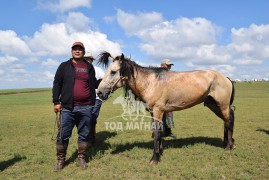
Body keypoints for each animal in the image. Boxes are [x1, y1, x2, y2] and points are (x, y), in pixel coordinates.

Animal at [97, 51, 234, 165]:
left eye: (113, 71)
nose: (99, 92)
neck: (151, 82)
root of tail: (226, 78)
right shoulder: (154, 112)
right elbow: (159, 131)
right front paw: (160, 152)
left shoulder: (158, 110)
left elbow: (157, 133)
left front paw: (155, 158)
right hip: (214, 105)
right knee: (226, 121)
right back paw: (228, 143)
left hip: (222, 105)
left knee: (228, 121)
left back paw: (228, 147)